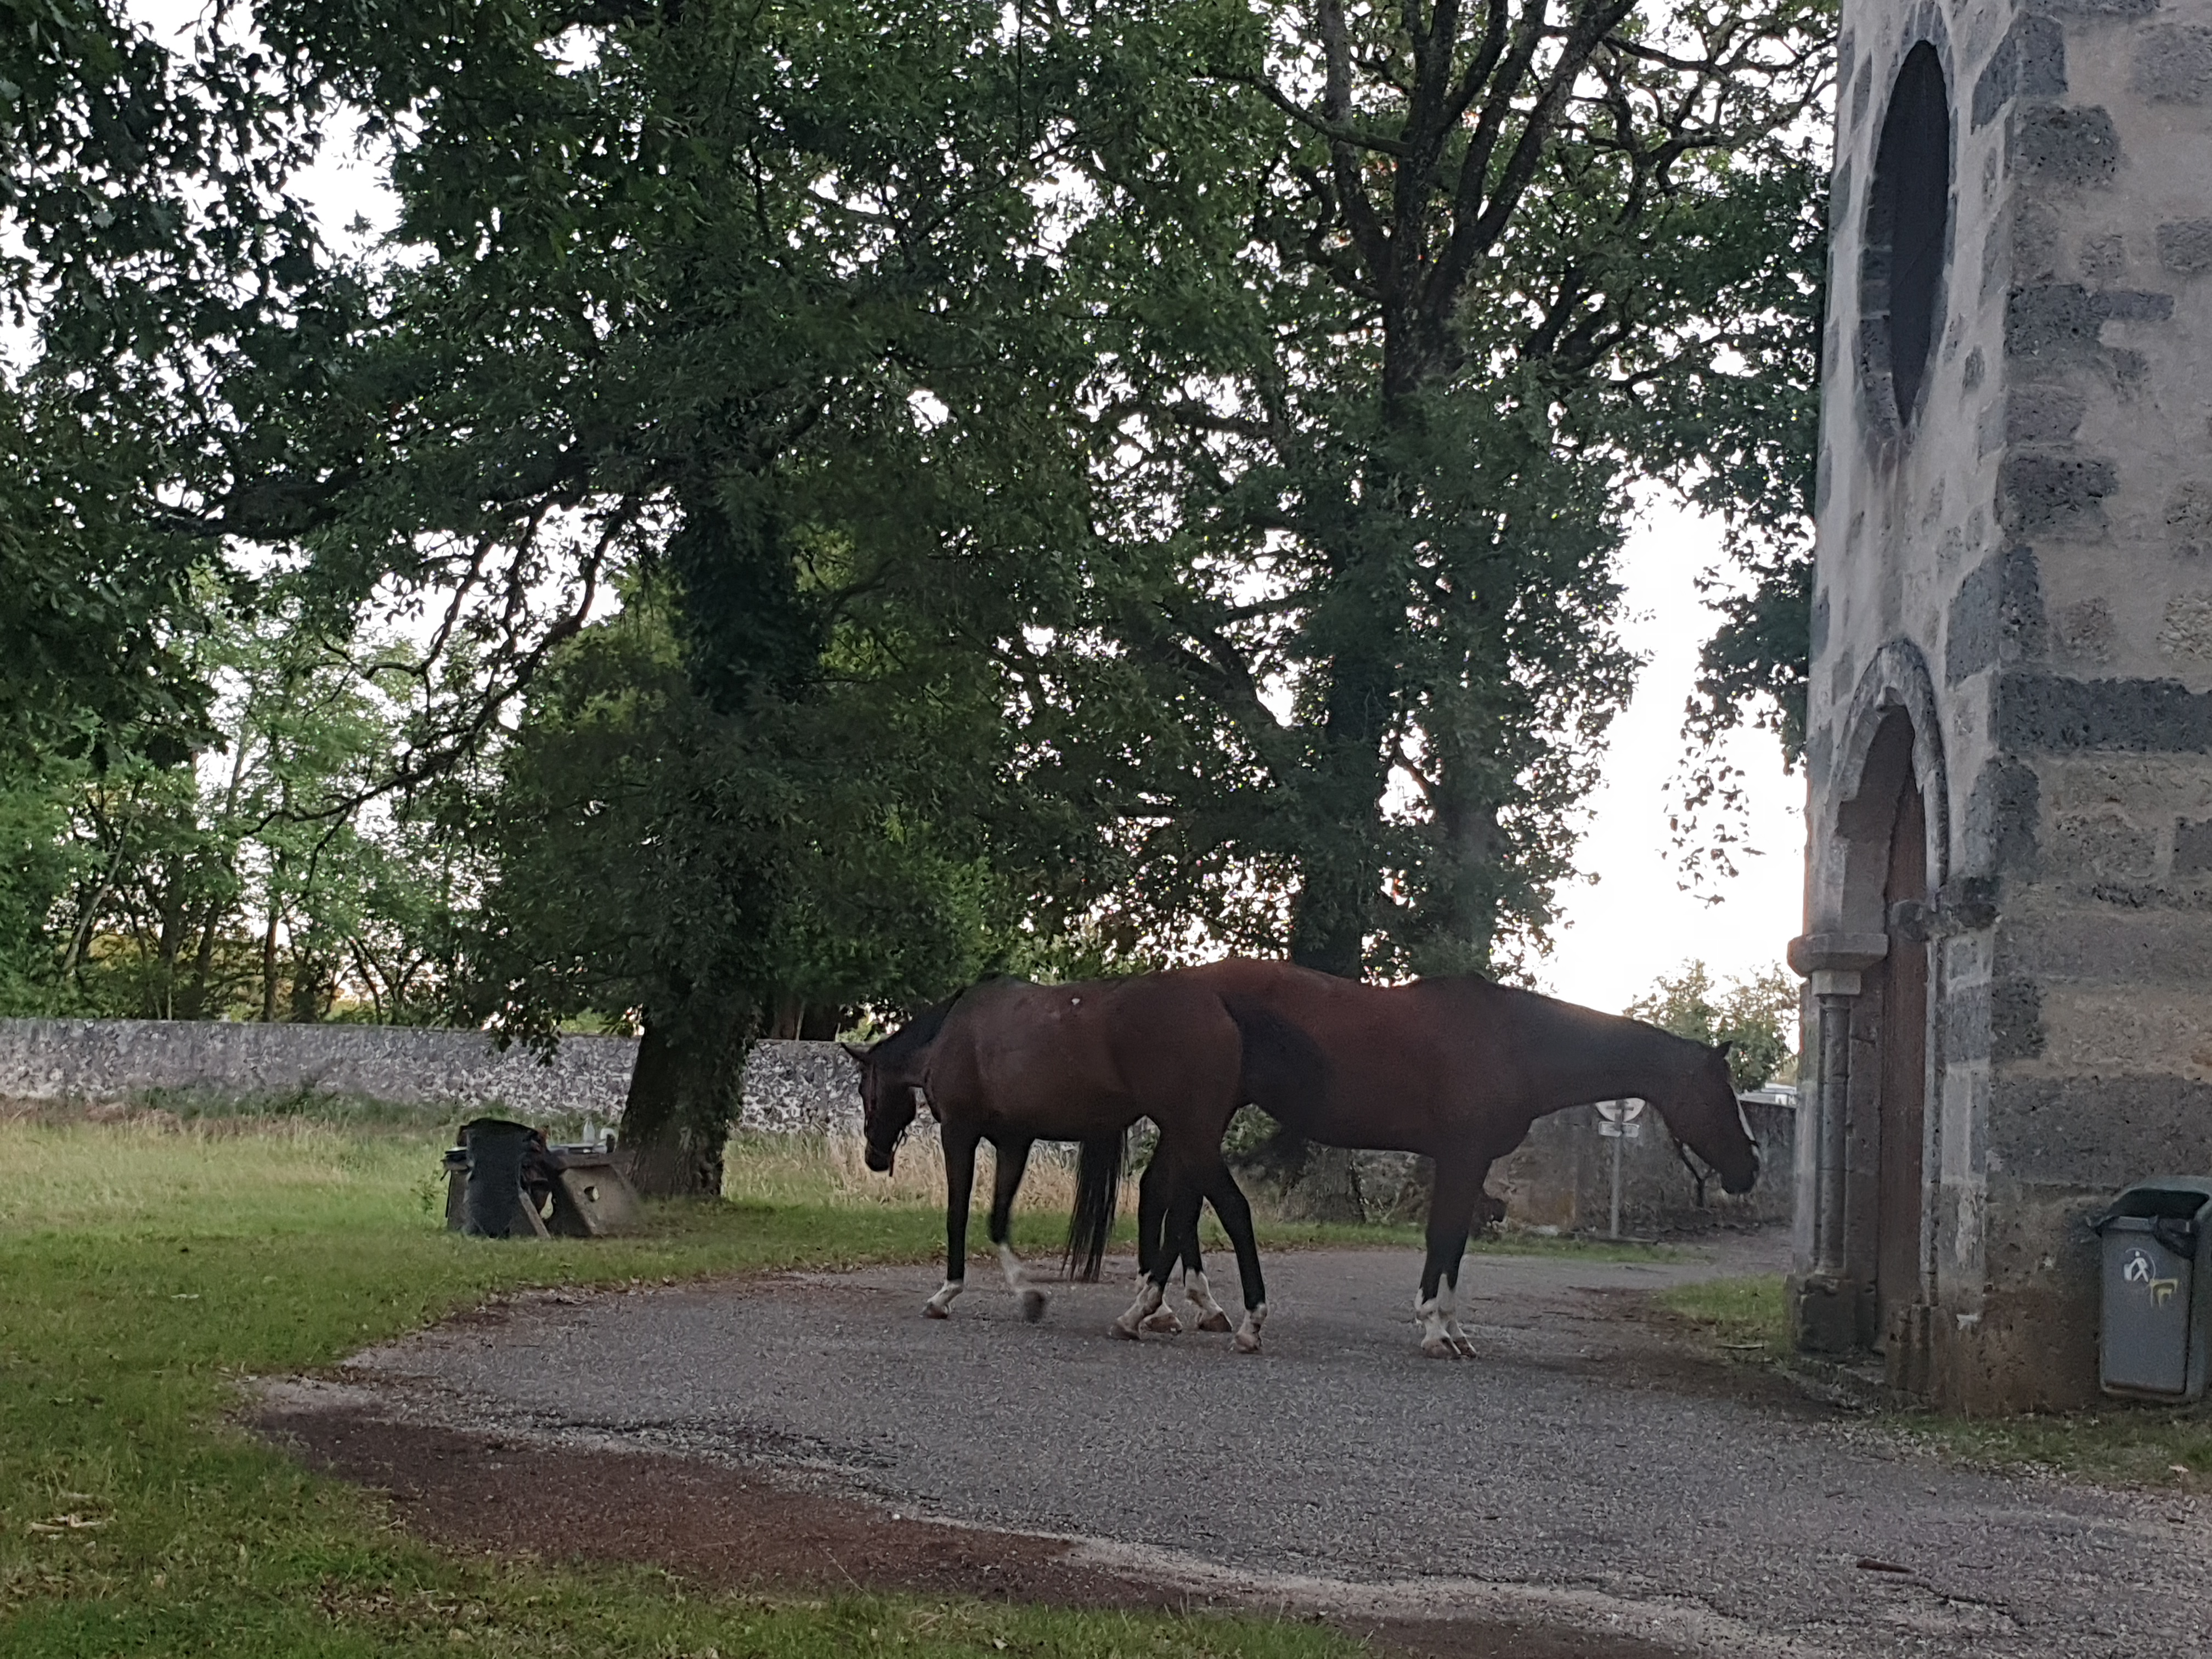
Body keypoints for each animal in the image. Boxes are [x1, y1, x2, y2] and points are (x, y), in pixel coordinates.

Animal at [847, 974, 1269, 1347]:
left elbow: (958, 1214)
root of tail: (1221, 1015)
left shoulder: (958, 1133)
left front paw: (947, 1294)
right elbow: (998, 1219)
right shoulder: (1014, 1143)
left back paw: (1242, 1321)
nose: (874, 1158)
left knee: (1228, 1208)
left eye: (865, 1090)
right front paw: (1028, 1296)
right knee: (1183, 1205)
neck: (953, 1032)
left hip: (1191, 1136)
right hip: (1189, 1139)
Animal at [1172, 958, 1762, 1357]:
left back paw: (1190, 1308)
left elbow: (1454, 1244)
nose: (1752, 1168)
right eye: (1720, 1094)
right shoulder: (1460, 1158)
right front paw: (1436, 1328)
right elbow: (1445, 1236)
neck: (1515, 1044)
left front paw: (1453, 1330)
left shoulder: (1468, 1163)